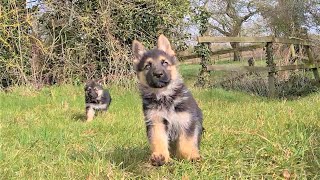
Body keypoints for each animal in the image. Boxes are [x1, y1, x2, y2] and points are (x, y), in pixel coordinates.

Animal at [132, 34, 202, 165]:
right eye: (147, 66)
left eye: (164, 63)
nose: (158, 74)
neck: (164, 96)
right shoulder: (156, 122)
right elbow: (158, 140)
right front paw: (161, 156)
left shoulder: (186, 121)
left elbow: (186, 142)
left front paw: (190, 156)